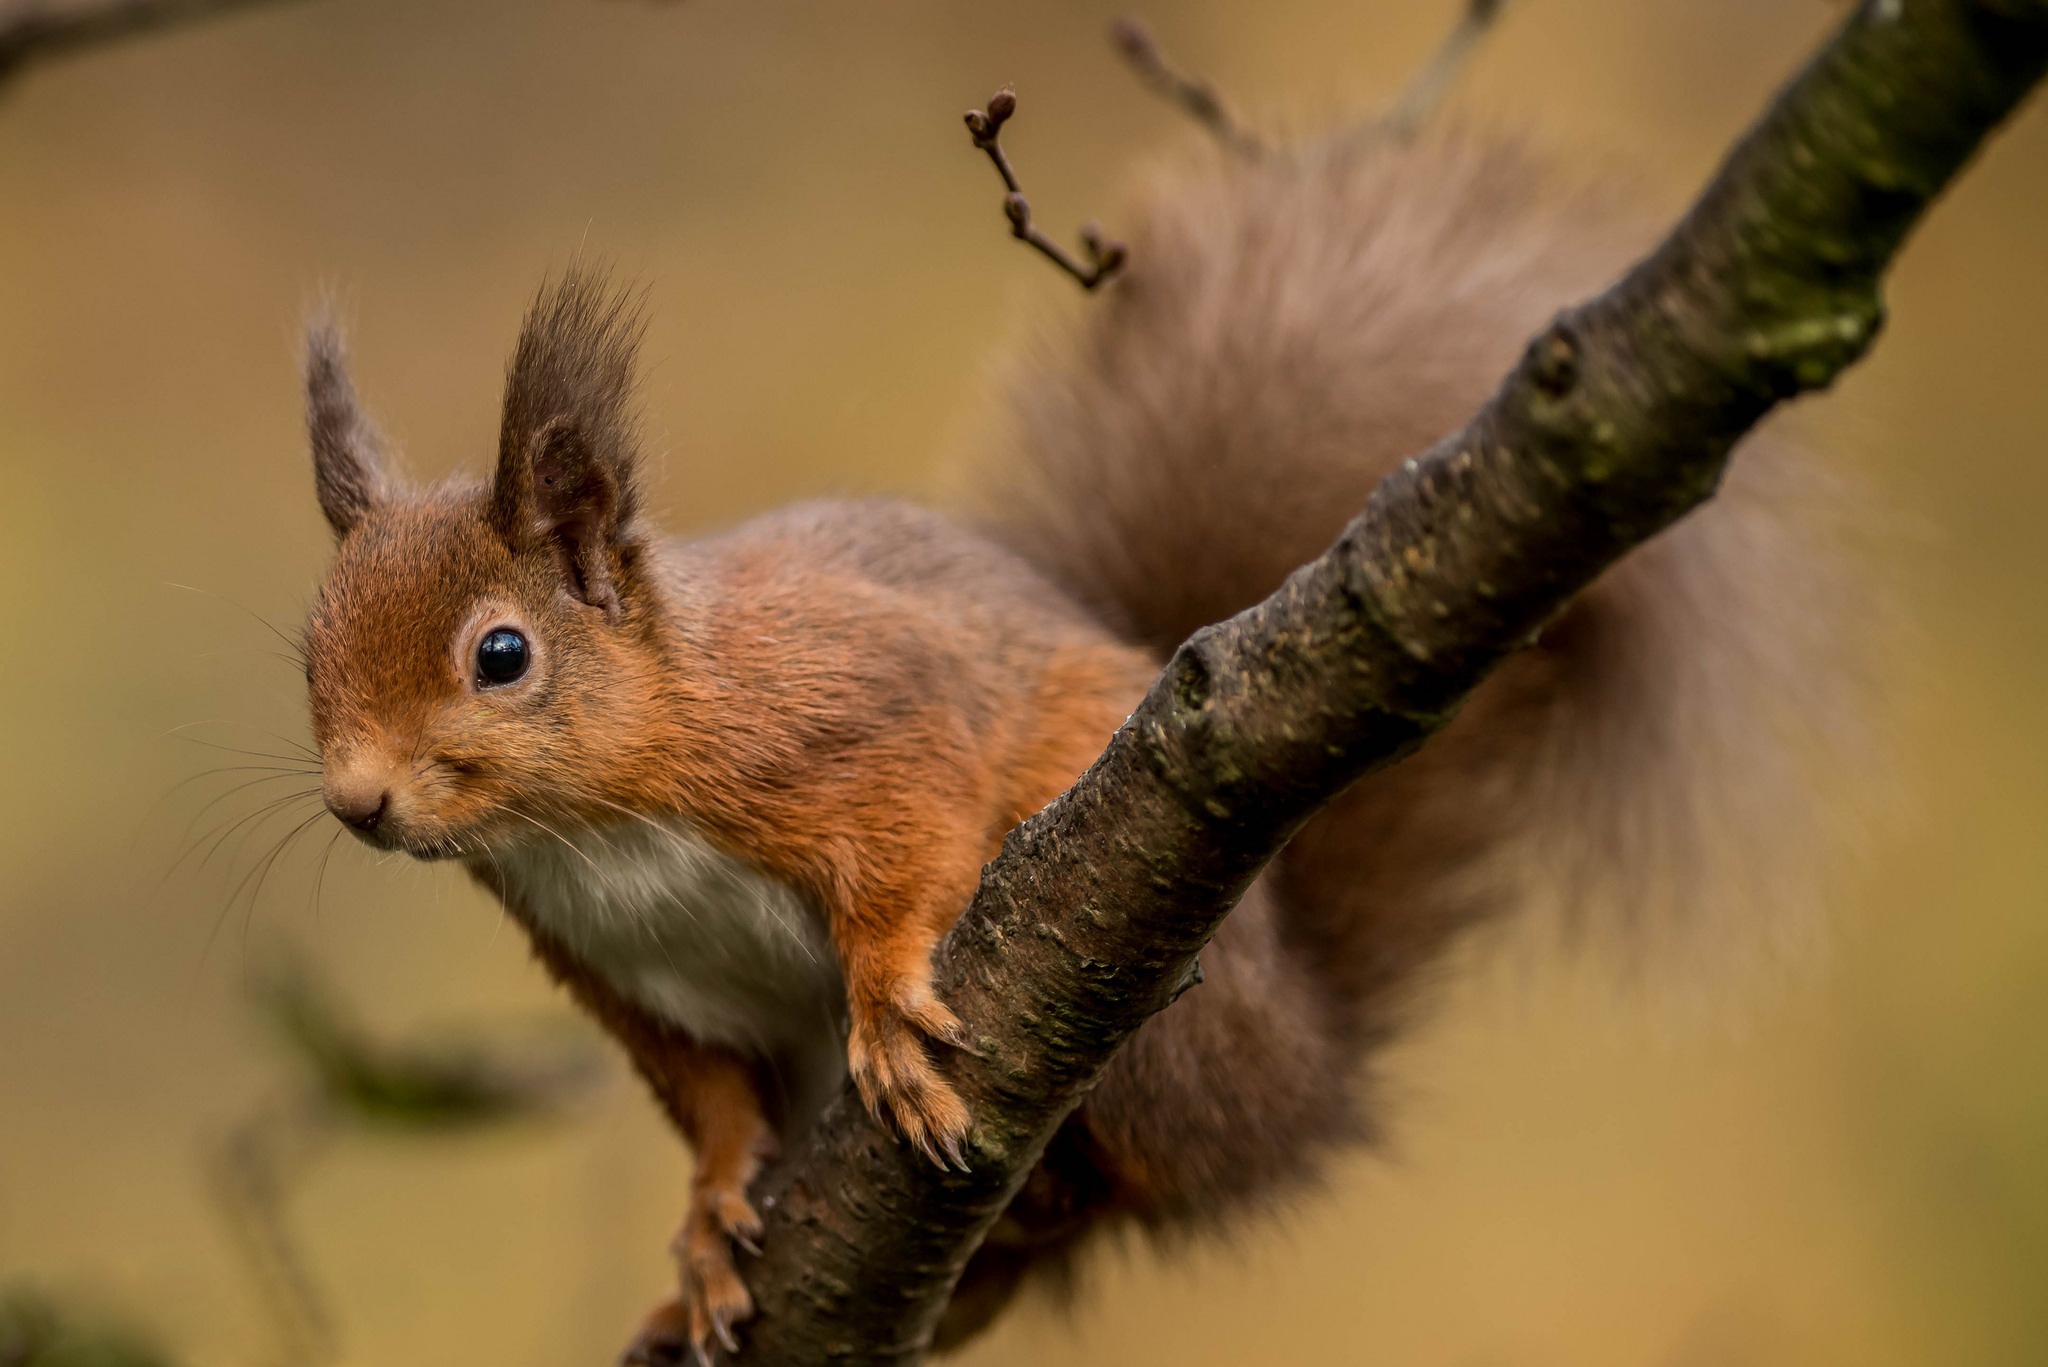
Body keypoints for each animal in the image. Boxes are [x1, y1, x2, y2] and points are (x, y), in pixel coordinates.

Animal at [299, 120, 1859, 1367]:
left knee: (1098, 1199)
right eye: (305, 654)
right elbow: (710, 1102)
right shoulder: (629, 977)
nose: (358, 801)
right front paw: (704, 1223)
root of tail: (1304, 1079)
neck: (598, 831)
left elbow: (913, 831)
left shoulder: (858, 710)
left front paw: (886, 1005)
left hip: (1166, 1028)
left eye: (502, 655)